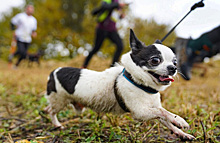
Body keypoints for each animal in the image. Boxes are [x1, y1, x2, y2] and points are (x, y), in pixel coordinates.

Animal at [44, 29, 194, 141]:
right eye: (155, 60)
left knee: (48, 108)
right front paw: (181, 121)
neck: (140, 83)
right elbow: (163, 112)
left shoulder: (151, 108)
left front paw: (181, 132)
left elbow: (166, 117)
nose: (173, 68)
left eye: (175, 62)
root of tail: (53, 72)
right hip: (59, 100)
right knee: (51, 111)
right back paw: (57, 124)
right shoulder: (140, 112)